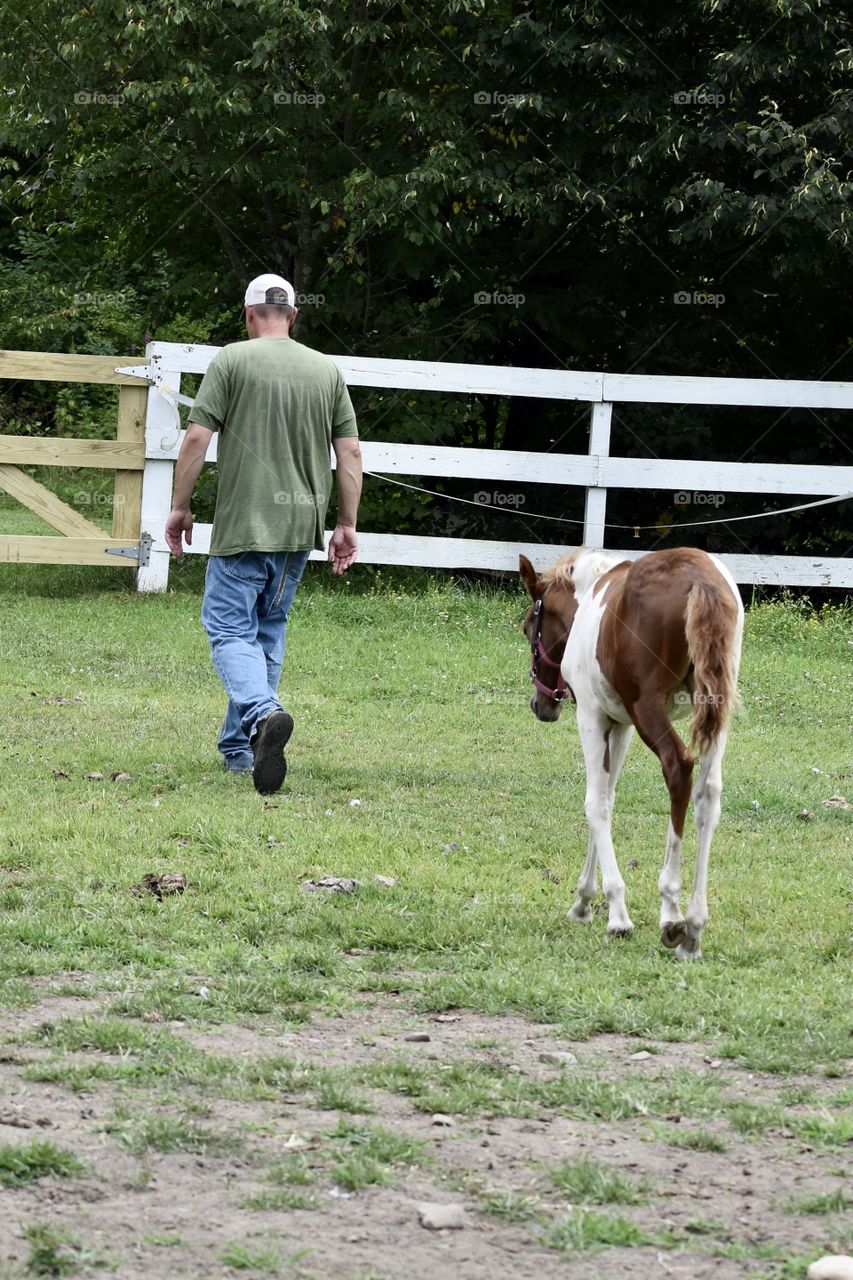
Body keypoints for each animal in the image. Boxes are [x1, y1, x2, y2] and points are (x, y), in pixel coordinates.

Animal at [514, 545, 742, 957]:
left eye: (528, 628)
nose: (542, 706)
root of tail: (699, 578)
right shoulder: (619, 724)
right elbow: (609, 795)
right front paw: (583, 901)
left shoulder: (592, 715)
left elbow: (595, 802)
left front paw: (616, 912)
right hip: (716, 707)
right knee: (708, 794)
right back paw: (694, 926)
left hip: (649, 709)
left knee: (678, 768)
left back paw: (672, 910)